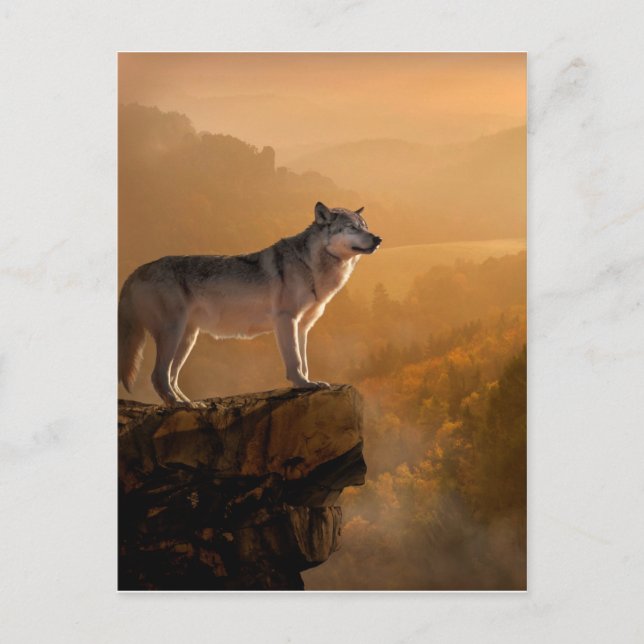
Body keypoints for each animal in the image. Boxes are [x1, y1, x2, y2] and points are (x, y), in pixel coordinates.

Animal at [118, 202, 382, 405]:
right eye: (351, 228)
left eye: (365, 227)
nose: (378, 239)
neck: (310, 265)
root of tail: (136, 272)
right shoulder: (286, 320)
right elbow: (295, 360)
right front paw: (302, 384)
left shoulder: (303, 326)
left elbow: (305, 361)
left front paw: (308, 383)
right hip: (173, 334)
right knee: (158, 375)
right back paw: (180, 405)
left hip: (187, 338)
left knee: (171, 377)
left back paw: (189, 403)